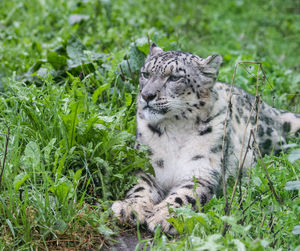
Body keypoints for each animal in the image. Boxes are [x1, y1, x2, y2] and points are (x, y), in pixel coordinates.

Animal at [111, 43, 300, 233]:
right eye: (145, 74)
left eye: (174, 77)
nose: (147, 95)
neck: (175, 128)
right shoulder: (145, 165)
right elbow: (139, 186)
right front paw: (130, 208)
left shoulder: (202, 172)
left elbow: (184, 195)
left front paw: (164, 217)